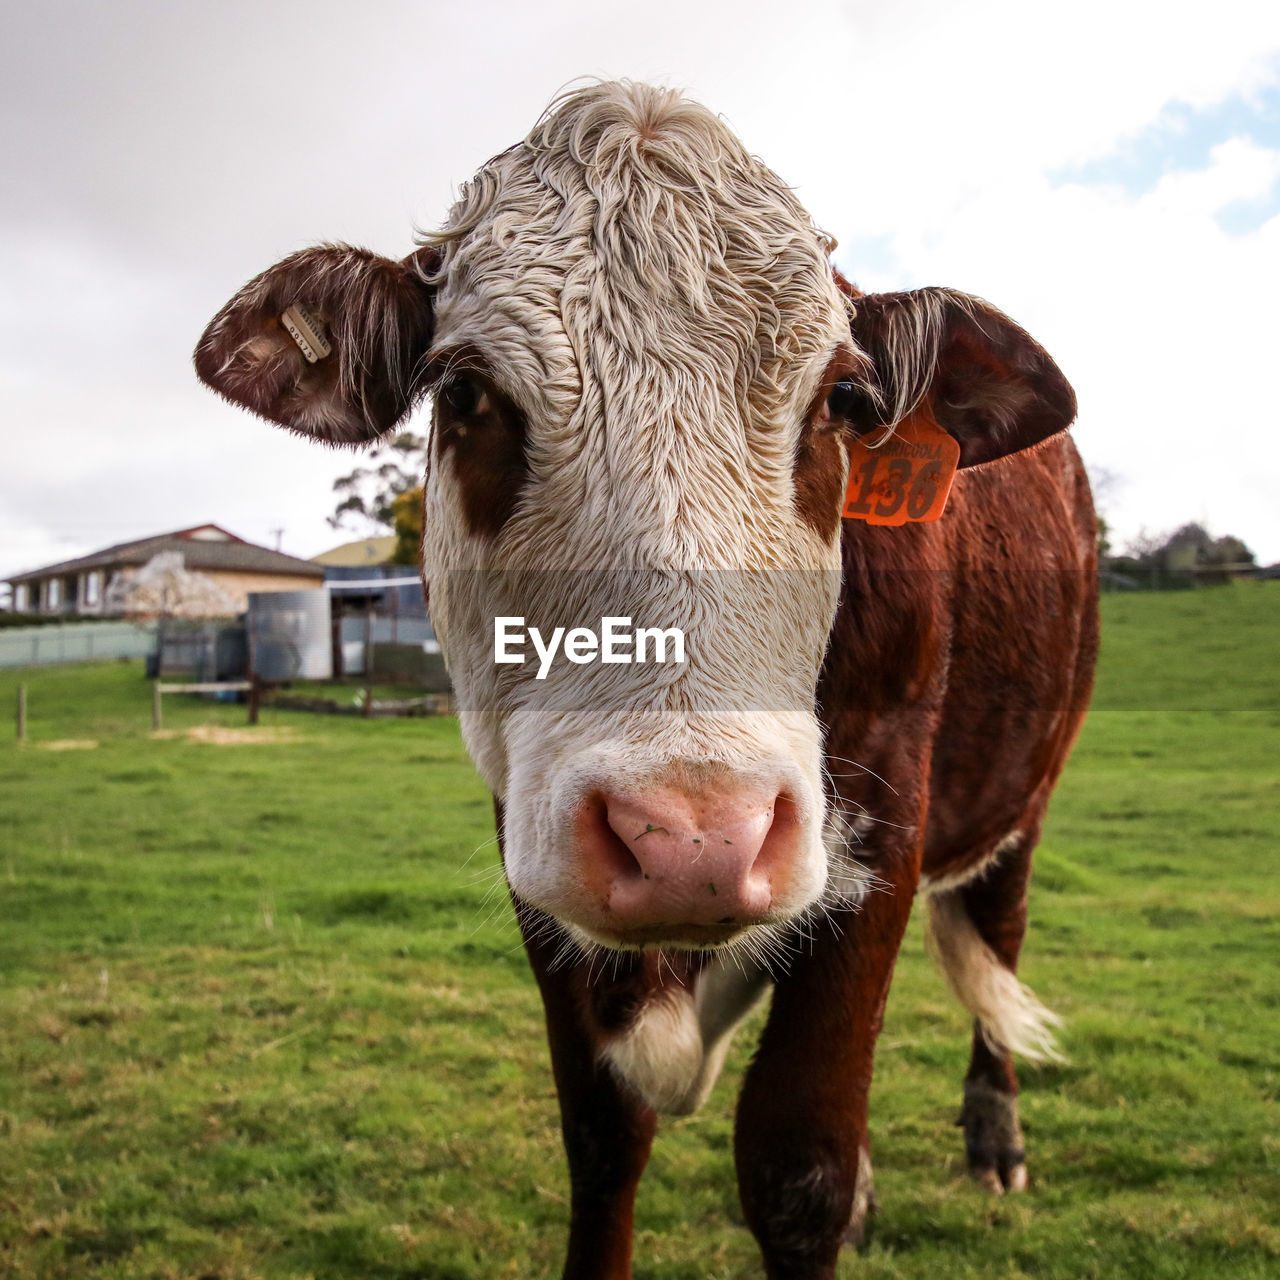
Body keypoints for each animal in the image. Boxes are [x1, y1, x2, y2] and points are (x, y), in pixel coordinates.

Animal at [197, 82, 1100, 1280]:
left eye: (841, 401)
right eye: (464, 389)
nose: (690, 837)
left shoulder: (884, 829)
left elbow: (799, 1161)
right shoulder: (530, 840)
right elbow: (603, 1133)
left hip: (1022, 794)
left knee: (996, 938)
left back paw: (994, 1136)